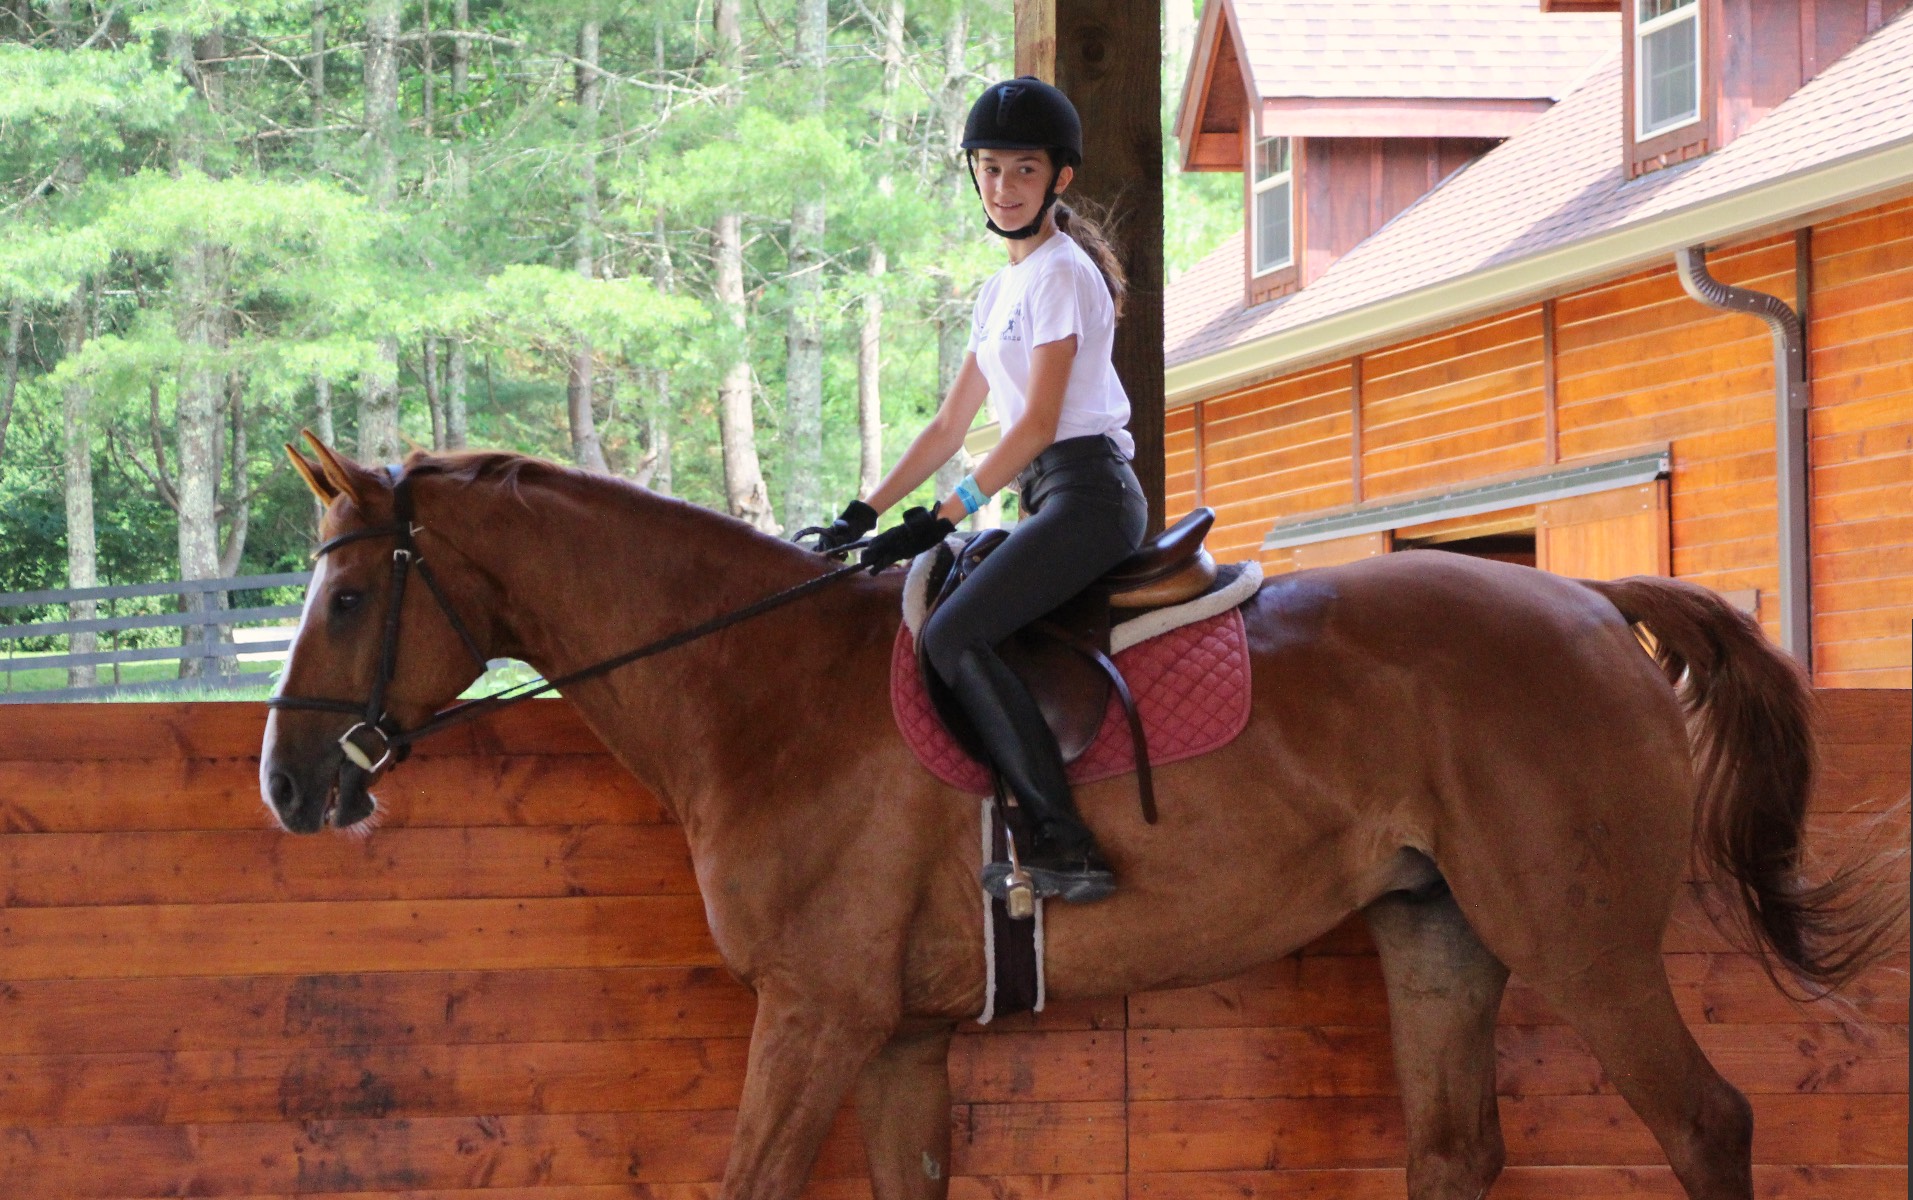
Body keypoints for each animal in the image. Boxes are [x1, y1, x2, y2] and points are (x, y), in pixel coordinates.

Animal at [265, 444, 1897, 1200]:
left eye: (343, 599)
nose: (288, 788)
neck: (758, 683)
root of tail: (1583, 601)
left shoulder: (815, 1014)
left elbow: (750, 1181)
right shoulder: (896, 1034)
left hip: (1581, 944)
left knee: (1704, 1124)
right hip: (1435, 933)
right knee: (1454, 1152)